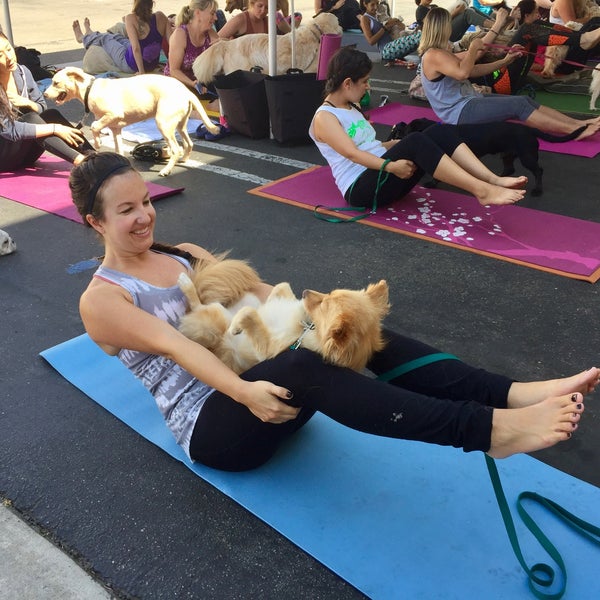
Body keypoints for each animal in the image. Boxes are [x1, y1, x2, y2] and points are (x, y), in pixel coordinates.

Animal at [44, 68, 220, 177]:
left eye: (55, 83)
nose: (44, 95)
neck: (89, 89)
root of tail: (186, 91)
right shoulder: (115, 128)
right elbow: (118, 149)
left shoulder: (112, 115)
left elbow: (94, 126)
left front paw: (98, 142)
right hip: (179, 124)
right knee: (189, 143)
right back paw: (183, 159)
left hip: (163, 123)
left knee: (176, 149)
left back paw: (166, 170)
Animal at [175, 258, 390, 376]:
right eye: (329, 294)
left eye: (324, 305)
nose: (305, 291)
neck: (305, 328)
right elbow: (282, 285)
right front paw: (275, 298)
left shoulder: (266, 349)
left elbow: (250, 313)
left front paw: (237, 326)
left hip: (217, 316)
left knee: (199, 305)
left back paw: (186, 283)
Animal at [390, 119, 584, 197]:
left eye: (405, 130)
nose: (398, 130)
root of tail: (530, 130)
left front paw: (431, 183)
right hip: (508, 154)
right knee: (509, 169)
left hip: (527, 155)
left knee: (538, 171)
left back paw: (538, 190)